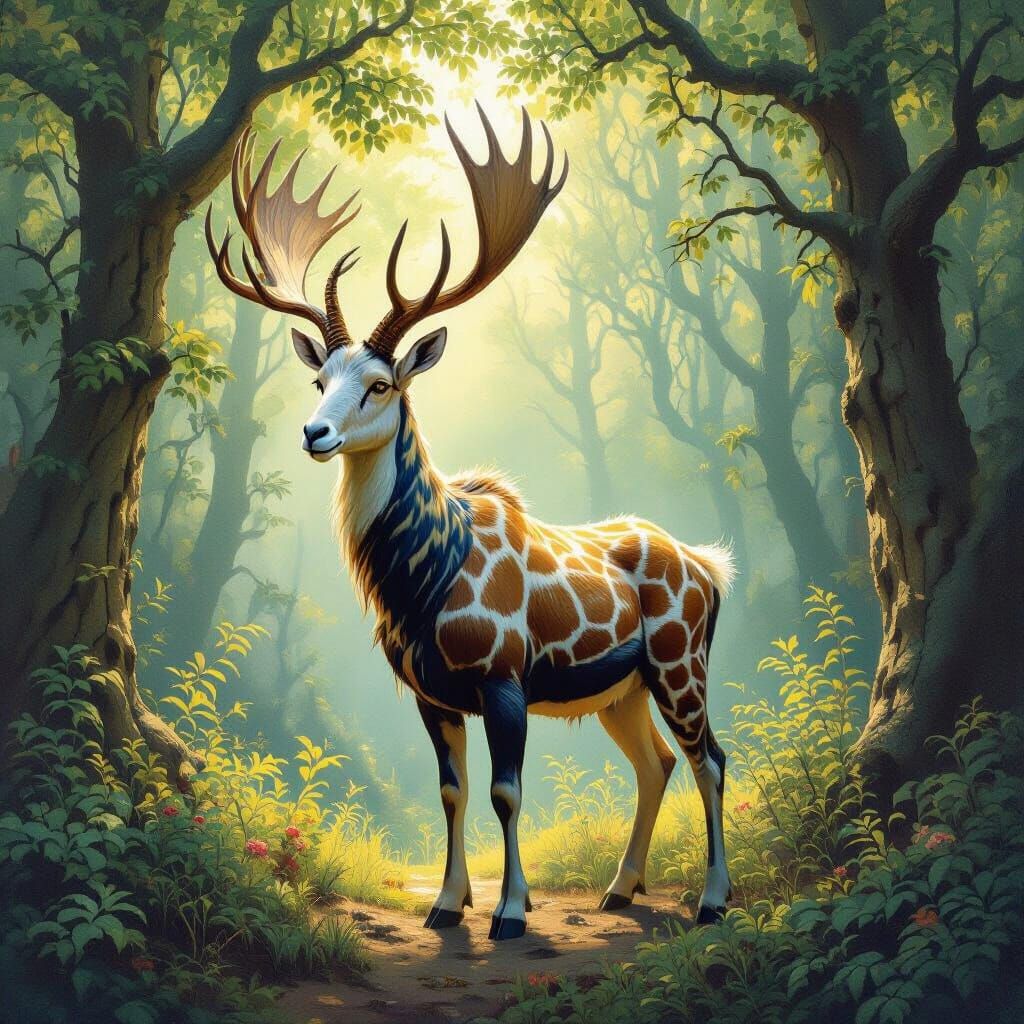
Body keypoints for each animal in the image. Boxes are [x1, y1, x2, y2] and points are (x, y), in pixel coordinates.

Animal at [206, 107, 736, 940]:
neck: (420, 584)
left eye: (381, 384)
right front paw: (446, 906)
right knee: (655, 761)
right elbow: (452, 791)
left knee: (711, 758)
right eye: (321, 379)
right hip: (622, 689)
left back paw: (714, 899)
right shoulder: (429, 691)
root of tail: (712, 570)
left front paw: (511, 912)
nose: (313, 434)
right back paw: (621, 889)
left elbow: (506, 791)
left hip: (682, 662)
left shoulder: (503, 673)